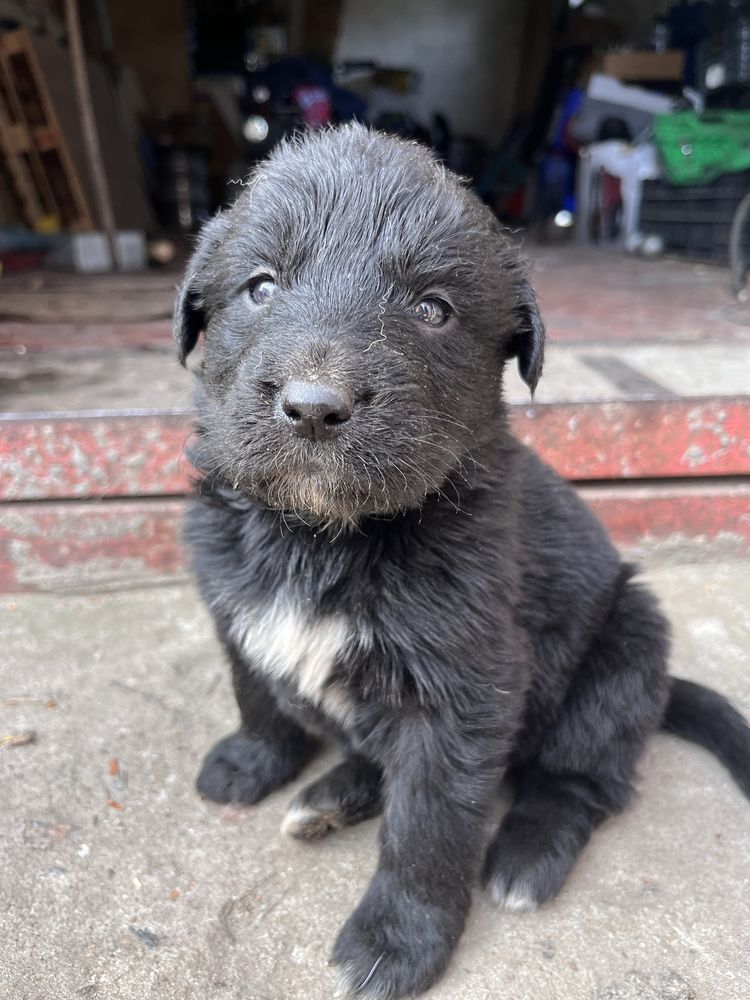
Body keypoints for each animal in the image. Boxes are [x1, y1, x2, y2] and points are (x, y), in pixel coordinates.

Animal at [176, 125, 750, 1000]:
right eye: (260, 286)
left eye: (432, 309)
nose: (314, 406)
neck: (321, 536)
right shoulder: (234, 607)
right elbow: (258, 693)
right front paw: (252, 761)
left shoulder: (465, 689)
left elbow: (430, 821)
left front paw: (397, 940)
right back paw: (332, 793)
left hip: (624, 652)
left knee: (580, 781)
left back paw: (527, 854)